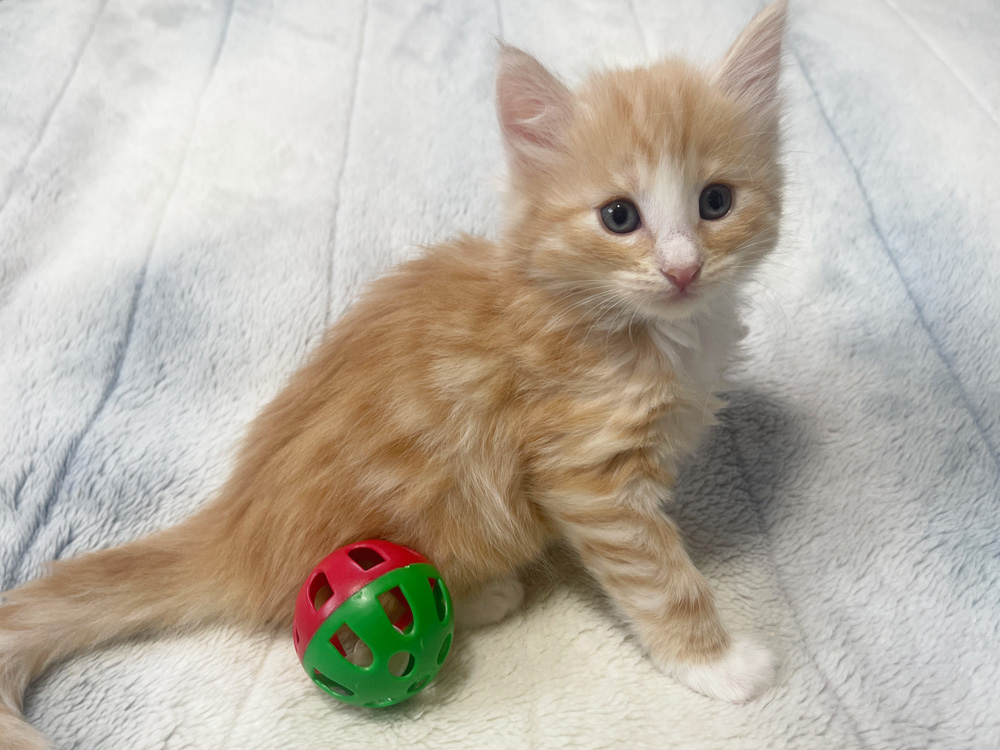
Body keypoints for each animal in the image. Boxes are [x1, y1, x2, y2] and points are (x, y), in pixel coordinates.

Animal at [0, 1, 788, 746]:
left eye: (716, 202)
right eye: (619, 216)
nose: (683, 269)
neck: (642, 328)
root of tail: (233, 532)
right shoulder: (587, 474)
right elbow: (657, 577)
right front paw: (717, 663)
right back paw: (483, 596)